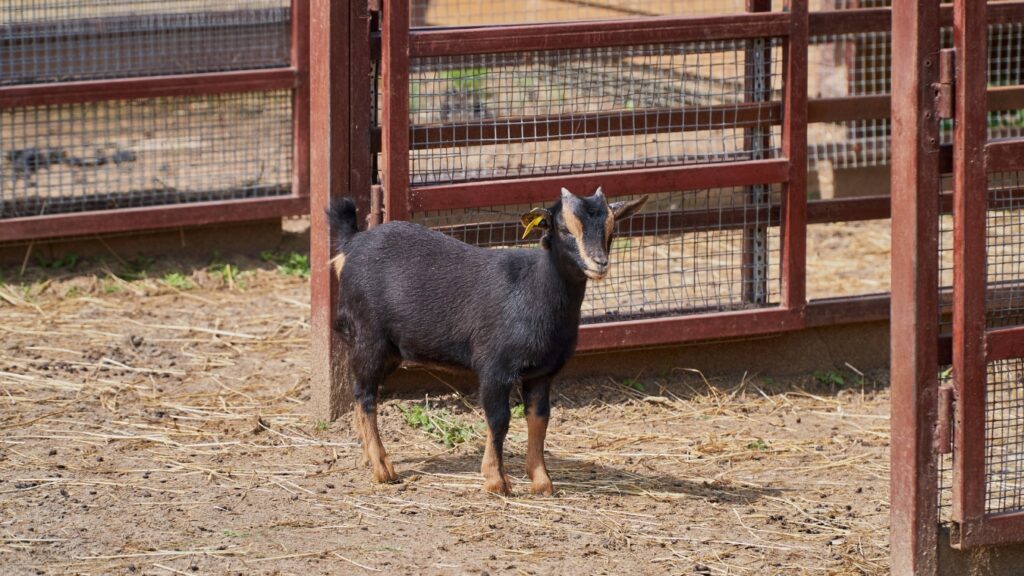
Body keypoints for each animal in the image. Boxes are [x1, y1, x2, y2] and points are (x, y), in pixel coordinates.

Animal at [327, 187, 647, 494]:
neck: (533, 290)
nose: (599, 263)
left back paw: (367, 457)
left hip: (390, 349)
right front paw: (496, 481)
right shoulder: (496, 367)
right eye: (564, 228)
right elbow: (499, 419)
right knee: (365, 395)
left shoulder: (542, 373)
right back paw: (383, 469)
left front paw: (542, 482)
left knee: (363, 395)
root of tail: (351, 244)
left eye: (611, 229)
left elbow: (539, 418)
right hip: (369, 337)